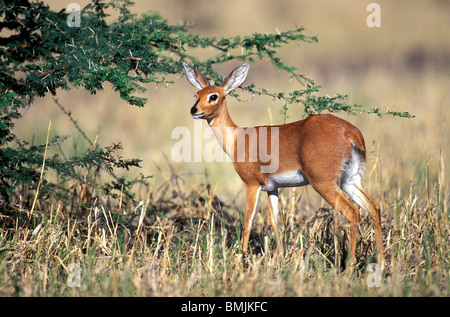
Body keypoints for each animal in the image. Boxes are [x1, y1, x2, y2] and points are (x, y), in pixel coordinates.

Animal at [183, 61, 384, 262]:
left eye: (213, 96)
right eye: (196, 95)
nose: (194, 110)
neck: (238, 138)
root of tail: (351, 133)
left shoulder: (251, 185)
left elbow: (248, 221)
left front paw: (242, 258)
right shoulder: (272, 188)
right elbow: (275, 222)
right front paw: (279, 258)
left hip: (323, 183)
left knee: (352, 212)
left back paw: (349, 265)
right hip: (349, 180)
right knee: (373, 207)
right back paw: (380, 262)